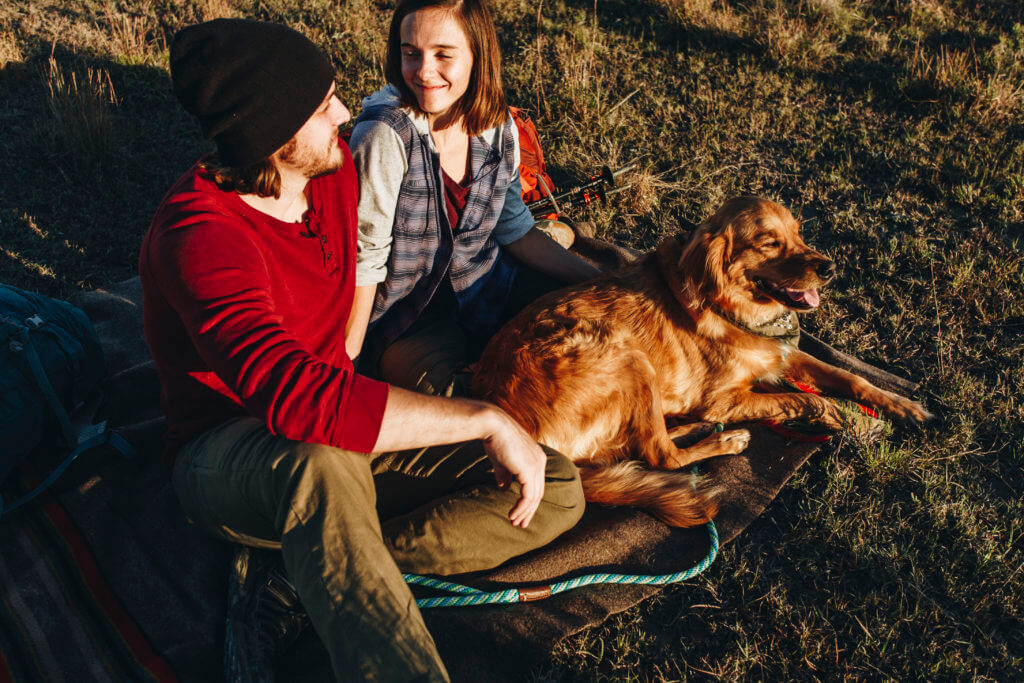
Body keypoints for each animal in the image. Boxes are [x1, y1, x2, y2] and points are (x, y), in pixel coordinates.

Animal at [475, 197, 933, 528]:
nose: (830, 267)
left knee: (645, 443)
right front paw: (843, 418)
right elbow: (806, 399)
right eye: (769, 242)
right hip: (622, 352)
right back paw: (726, 439)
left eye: (799, 234)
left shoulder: (783, 355)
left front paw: (905, 407)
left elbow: (850, 377)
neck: (733, 306)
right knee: (658, 454)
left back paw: (693, 427)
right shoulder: (725, 398)